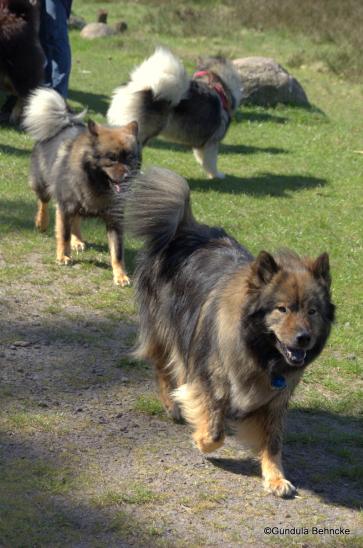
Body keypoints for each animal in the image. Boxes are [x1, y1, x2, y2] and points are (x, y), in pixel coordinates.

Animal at [23, 88, 141, 284]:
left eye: (129, 158)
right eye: (112, 158)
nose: (127, 176)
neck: (95, 183)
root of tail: (66, 121)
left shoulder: (114, 219)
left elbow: (117, 251)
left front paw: (120, 275)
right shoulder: (65, 206)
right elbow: (63, 234)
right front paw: (63, 256)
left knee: (76, 219)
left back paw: (77, 241)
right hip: (44, 184)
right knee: (43, 202)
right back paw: (42, 223)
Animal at [109, 47, 245, 180]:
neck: (218, 84)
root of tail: (145, 87)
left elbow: (202, 160)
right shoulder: (212, 142)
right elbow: (211, 162)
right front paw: (216, 175)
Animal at [126, 167, 336, 496]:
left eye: (312, 311)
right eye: (282, 309)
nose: (304, 338)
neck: (260, 353)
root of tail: (185, 228)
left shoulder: (275, 400)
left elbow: (273, 442)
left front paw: (275, 477)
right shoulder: (212, 379)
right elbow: (214, 431)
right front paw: (201, 439)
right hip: (165, 328)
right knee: (162, 367)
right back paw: (173, 404)